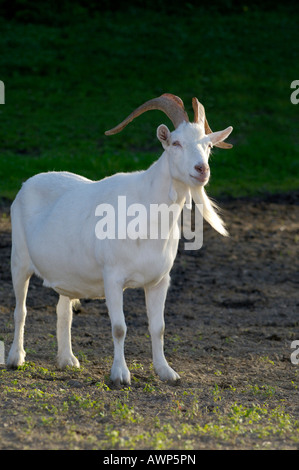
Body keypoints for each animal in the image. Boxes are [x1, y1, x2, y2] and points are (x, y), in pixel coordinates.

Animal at [5, 93, 233, 384]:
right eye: (176, 143)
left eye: (209, 146)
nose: (201, 169)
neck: (146, 214)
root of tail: (28, 183)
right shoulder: (112, 277)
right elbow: (119, 327)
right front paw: (120, 375)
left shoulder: (160, 280)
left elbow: (158, 327)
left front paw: (166, 371)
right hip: (19, 260)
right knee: (20, 310)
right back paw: (15, 358)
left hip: (66, 272)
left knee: (63, 310)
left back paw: (67, 360)